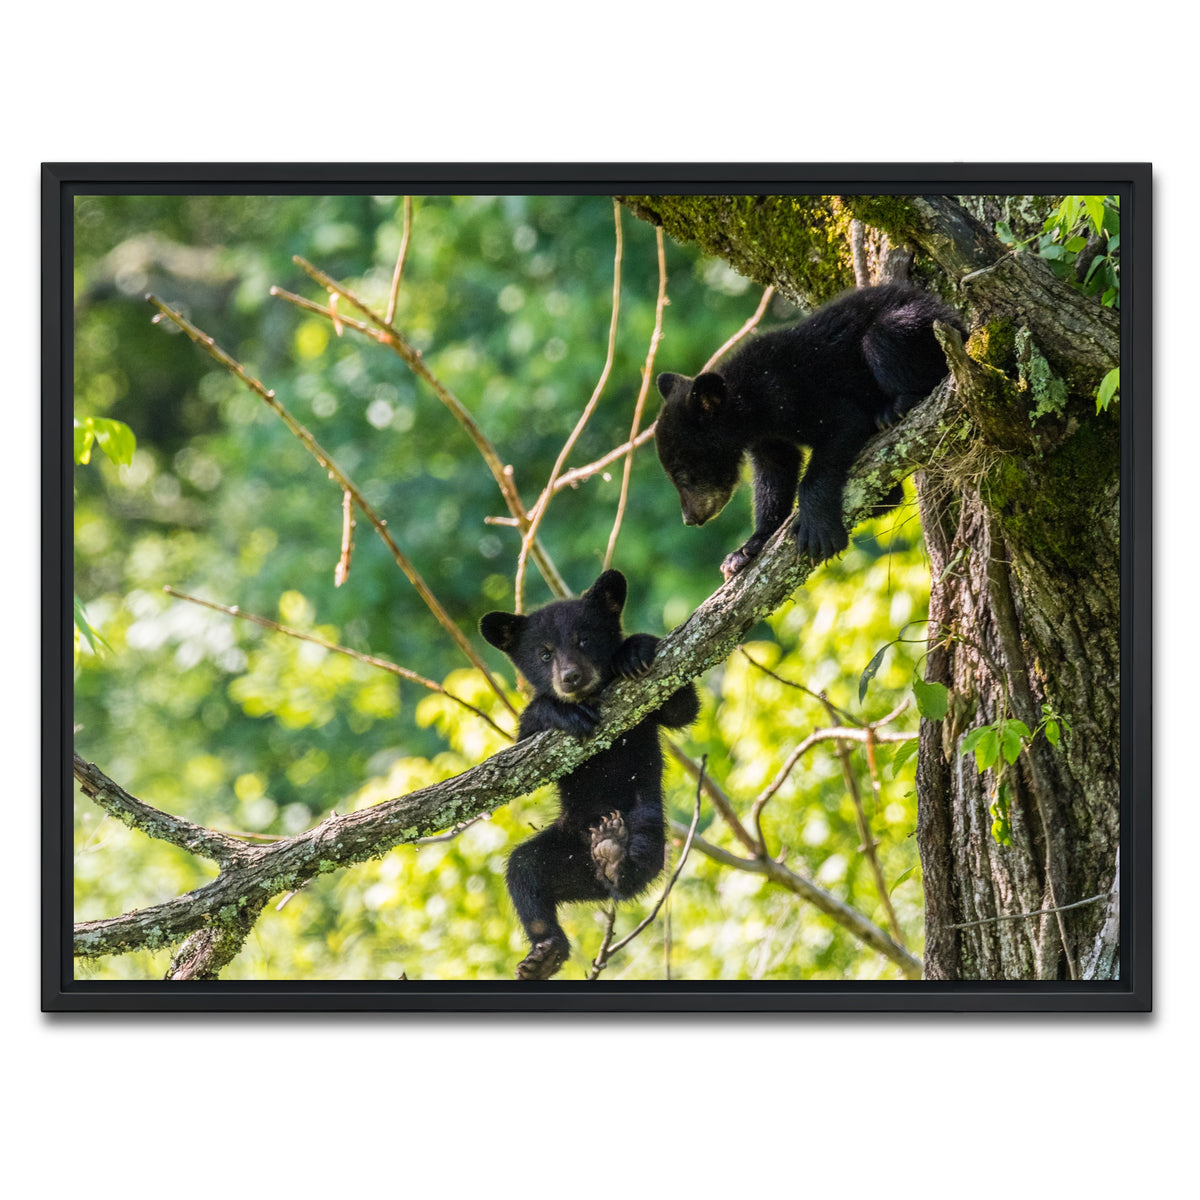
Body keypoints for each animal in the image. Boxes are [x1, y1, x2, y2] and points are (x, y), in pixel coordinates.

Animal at [479, 569, 700, 981]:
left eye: (585, 639)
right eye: (544, 653)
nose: (571, 677)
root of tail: (593, 877)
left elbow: (681, 707)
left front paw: (633, 650)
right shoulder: (528, 745)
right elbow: (523, 748)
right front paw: (562, 711)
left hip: (646, 819)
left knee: (641, 856)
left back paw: (615, 854)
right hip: (560, 853)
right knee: (523, 871)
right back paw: (545, 953)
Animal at [654, 282, 967, 579]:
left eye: (683, 474)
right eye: (672, 475)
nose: (690, 517)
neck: (751, 404)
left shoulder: (791, 394)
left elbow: (843, 422)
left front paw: (817, 530)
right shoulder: (768, 437)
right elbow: (775, 474)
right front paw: (746, 549)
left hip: (920, 327)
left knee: (883, 336)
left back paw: (895, 408)